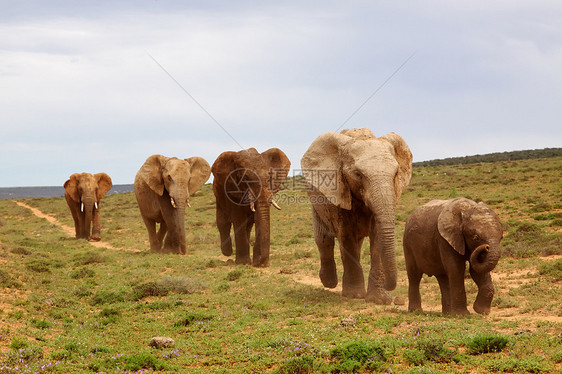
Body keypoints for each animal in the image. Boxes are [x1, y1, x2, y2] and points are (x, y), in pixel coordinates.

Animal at [302, 129, 412, 304]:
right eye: (358, 174)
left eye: (396, 174)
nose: (390, 288)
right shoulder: (339, 191)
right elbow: (347, 236)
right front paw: (354, 295)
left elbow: (376, 238)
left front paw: (380, 299)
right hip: (316, 202)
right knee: (324, 239)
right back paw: (329, 282)